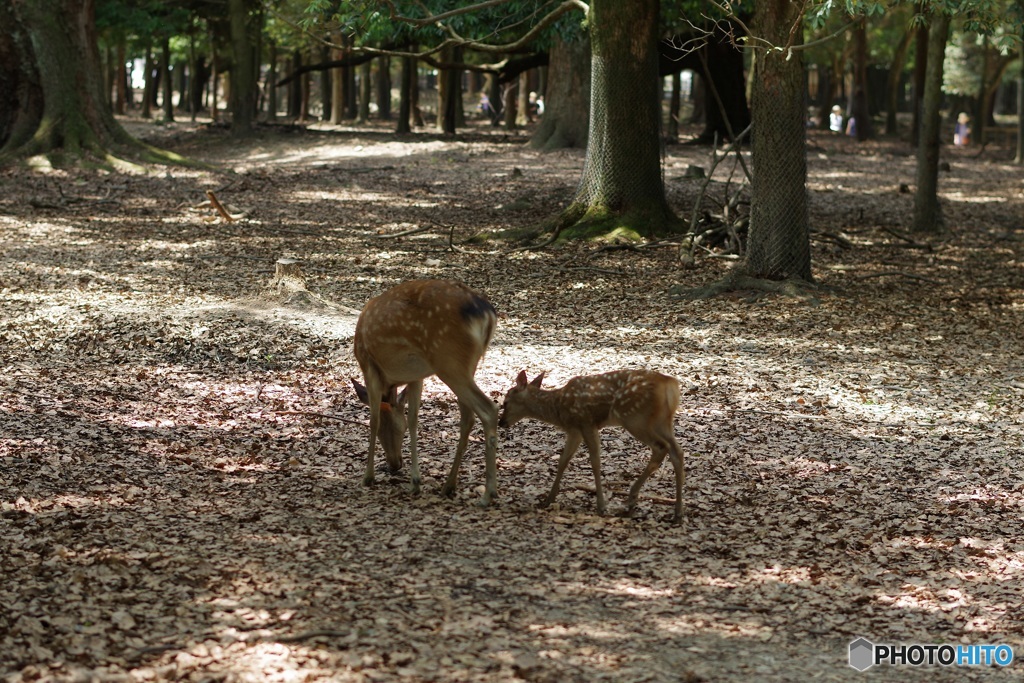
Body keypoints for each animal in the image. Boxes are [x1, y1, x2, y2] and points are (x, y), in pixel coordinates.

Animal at [352, 278, 499, 507]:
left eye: (391, 429)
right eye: (399, 427)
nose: (395, 464)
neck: (390, 385)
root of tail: (487, 314)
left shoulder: (369, 366)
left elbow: (373, 419)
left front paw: (368, 477)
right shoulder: (416, 376)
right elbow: (414, 419)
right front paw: (415, 481)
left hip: (448, 359)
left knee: (488, 409)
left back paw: (487, 494)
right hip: (466, 365)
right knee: (468, 418)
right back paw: (449, 485)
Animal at [499, 370, 684, 520]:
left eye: (505, 402)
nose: (501, 422)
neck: (558, 408)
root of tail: (669, 384)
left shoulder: (586, 423)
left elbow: (595, 461)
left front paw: (601, 506)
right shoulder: (574, 431)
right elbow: (563, 460)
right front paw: (548, 499)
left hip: (634, 417)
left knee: (661, 447)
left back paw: (631, 500)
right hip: (662, 421)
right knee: (677, 451)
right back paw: (677, 512)